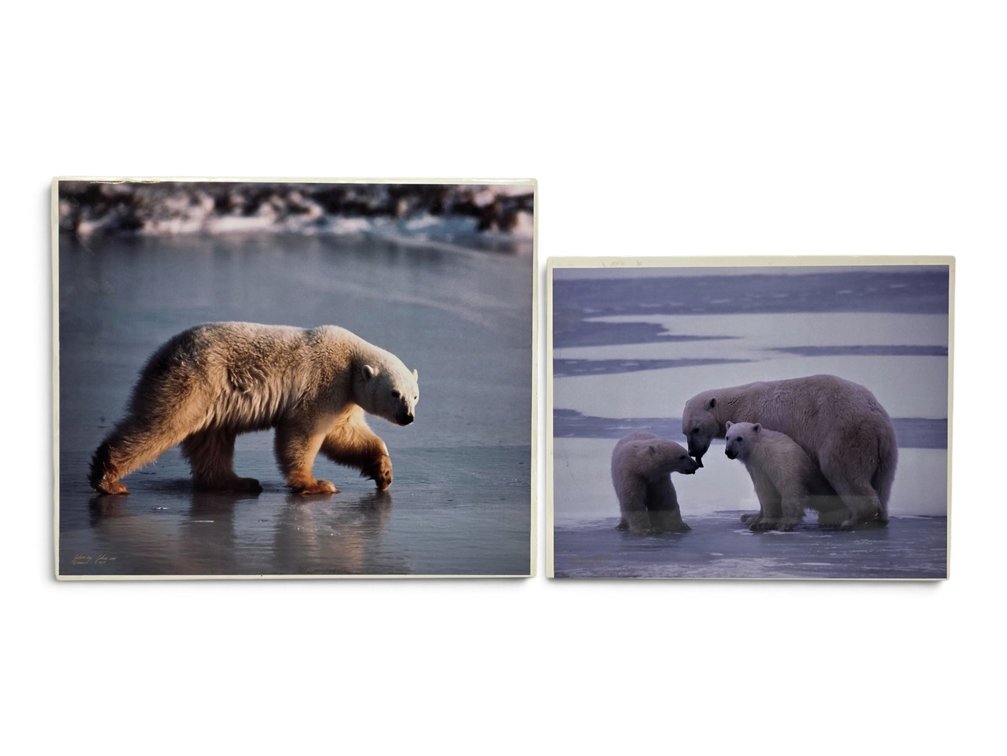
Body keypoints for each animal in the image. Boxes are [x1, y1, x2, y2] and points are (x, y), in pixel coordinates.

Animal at [88, 322, 419, 496]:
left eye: (415, 395)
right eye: (395, 393)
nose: (408, 417)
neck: (349, 359)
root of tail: (160, 356)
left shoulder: (345, 398)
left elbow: (346, 435)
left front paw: (384, 472)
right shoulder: (325, 383)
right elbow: (304, 431)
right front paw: (315, 483)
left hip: (211, 396)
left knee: (212, 440)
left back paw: (237, 482)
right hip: (193, 382)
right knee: (160, 425)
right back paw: (108, 479)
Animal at [682, 374, 897, 529]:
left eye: (696, 429)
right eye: (685, 431)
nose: (693, 451)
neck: (739, 403)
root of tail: (877, 422)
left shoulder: (758, 427)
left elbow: (761, 475)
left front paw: (756, 518)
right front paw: (749, 516)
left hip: (845, 436)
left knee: (841, 470)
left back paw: (852, 520)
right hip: (886, 449)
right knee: (883, 484)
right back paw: (879, 517)